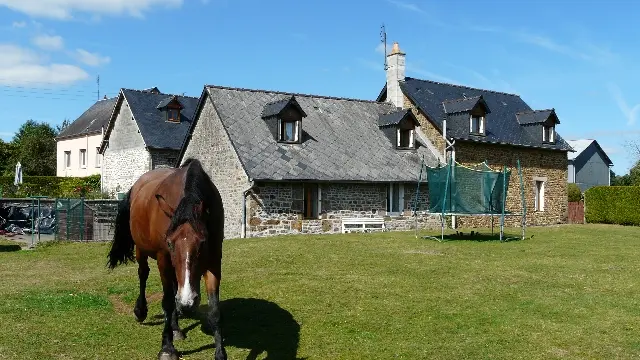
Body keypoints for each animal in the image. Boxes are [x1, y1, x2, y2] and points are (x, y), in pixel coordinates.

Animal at [105, 158, 225, 360]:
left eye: (203, 242)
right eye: (169, 243)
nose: (188, 302)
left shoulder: (214, 262)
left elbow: (215, 308)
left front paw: (220, 353)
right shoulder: (164, 260)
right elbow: (167, 302)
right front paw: (167, 347)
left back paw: (176, 327)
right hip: (142, 250)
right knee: (143, 274)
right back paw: (142, 311)